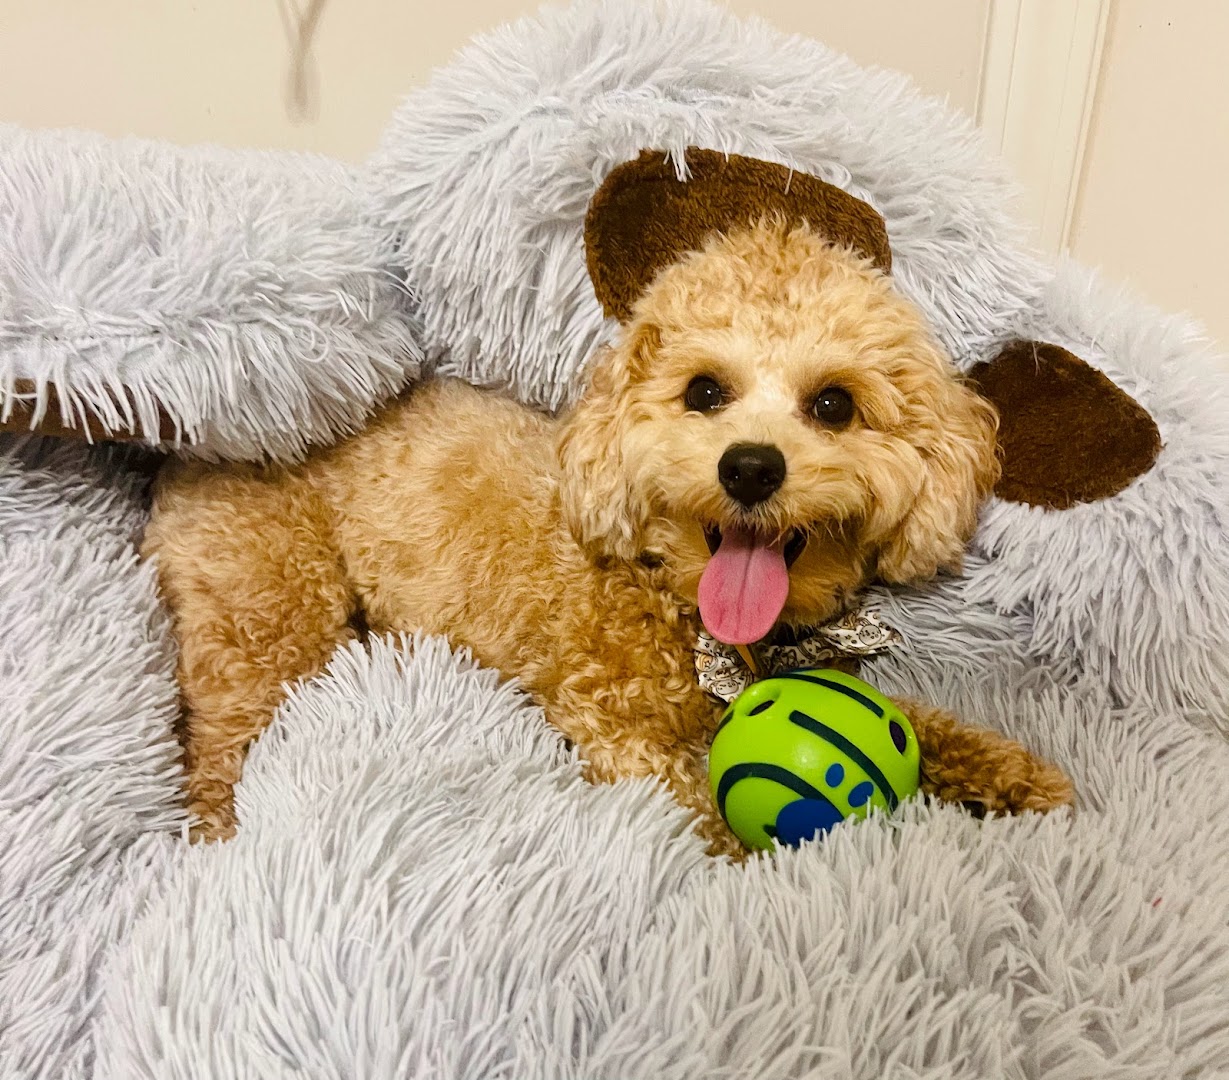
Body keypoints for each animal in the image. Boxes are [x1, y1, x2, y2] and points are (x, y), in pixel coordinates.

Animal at [144, 219, 1073, 853]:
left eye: (833, 405)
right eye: (704, 392)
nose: (749, 468)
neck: (679, 598)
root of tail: (196, 453)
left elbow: (923, 723)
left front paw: (1011, 776)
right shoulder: (615, 728)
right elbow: (703, 820)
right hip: (269, 611)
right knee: (223, 750)